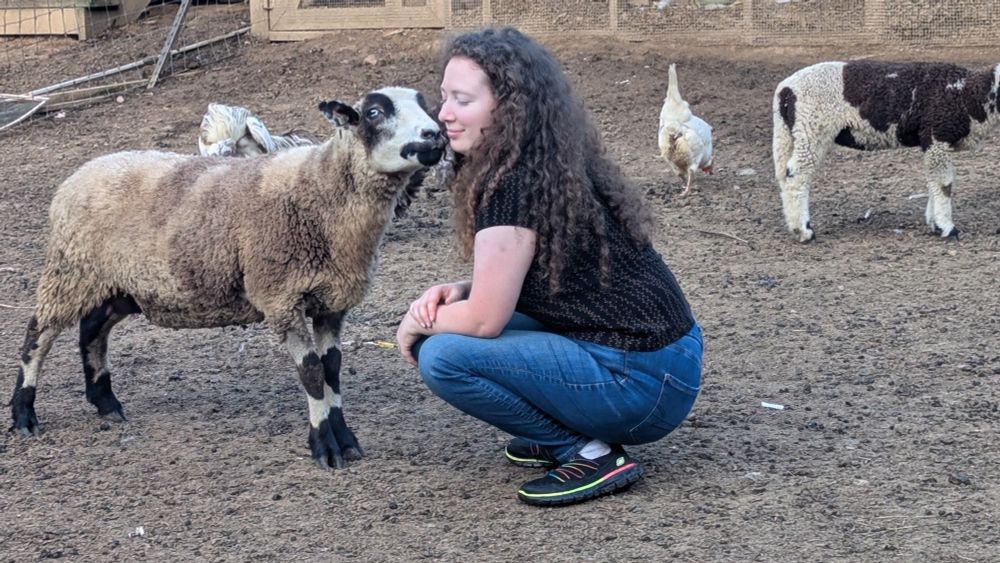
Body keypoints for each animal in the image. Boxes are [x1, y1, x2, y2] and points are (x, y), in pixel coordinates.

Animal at [8, 86, 446, 470]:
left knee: (92, 330)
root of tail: (77, 176)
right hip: (71, 270)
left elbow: (333, 369)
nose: (435, 135)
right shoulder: (280, 297)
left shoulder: (331, 302)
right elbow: (311, 372)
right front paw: (325, 446)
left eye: (426, 105)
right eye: (373, 112)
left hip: (119, 284)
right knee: (37, 337)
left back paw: (106, 403)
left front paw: (346, 439)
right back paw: (23, 414)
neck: (320, 190)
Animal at [773, 60, 1000, 242]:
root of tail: (785, 90)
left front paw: (935, 224)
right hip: (812, 128)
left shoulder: (931, 142)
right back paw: (804, 231)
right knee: (797, 176)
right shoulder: (937, 135)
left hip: (788, 133)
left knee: (784, 175)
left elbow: (933, 182)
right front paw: (948, 228)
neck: (970, 94)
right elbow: (944, 184)